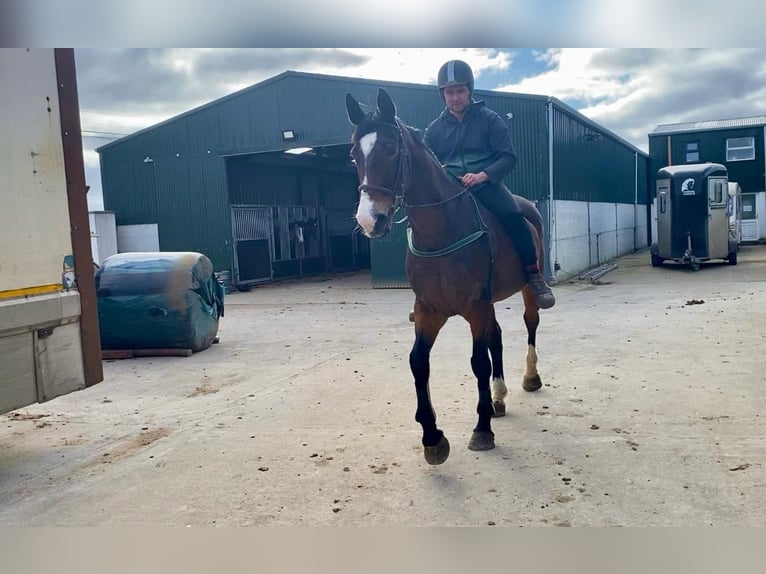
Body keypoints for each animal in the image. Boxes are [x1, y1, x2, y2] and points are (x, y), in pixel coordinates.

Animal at [345, 88, 546, 465]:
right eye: (354, 155)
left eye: (392, 148)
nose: (370, 221)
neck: (443, 229)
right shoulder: (430, 310)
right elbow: (418, 363)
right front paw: (432, 438)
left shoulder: (474, 307)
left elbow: (478, 362)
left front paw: (481, 430)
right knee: (497, 336)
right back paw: (498, 397)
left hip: (527, 288)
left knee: (530, 324)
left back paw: (530, 378)